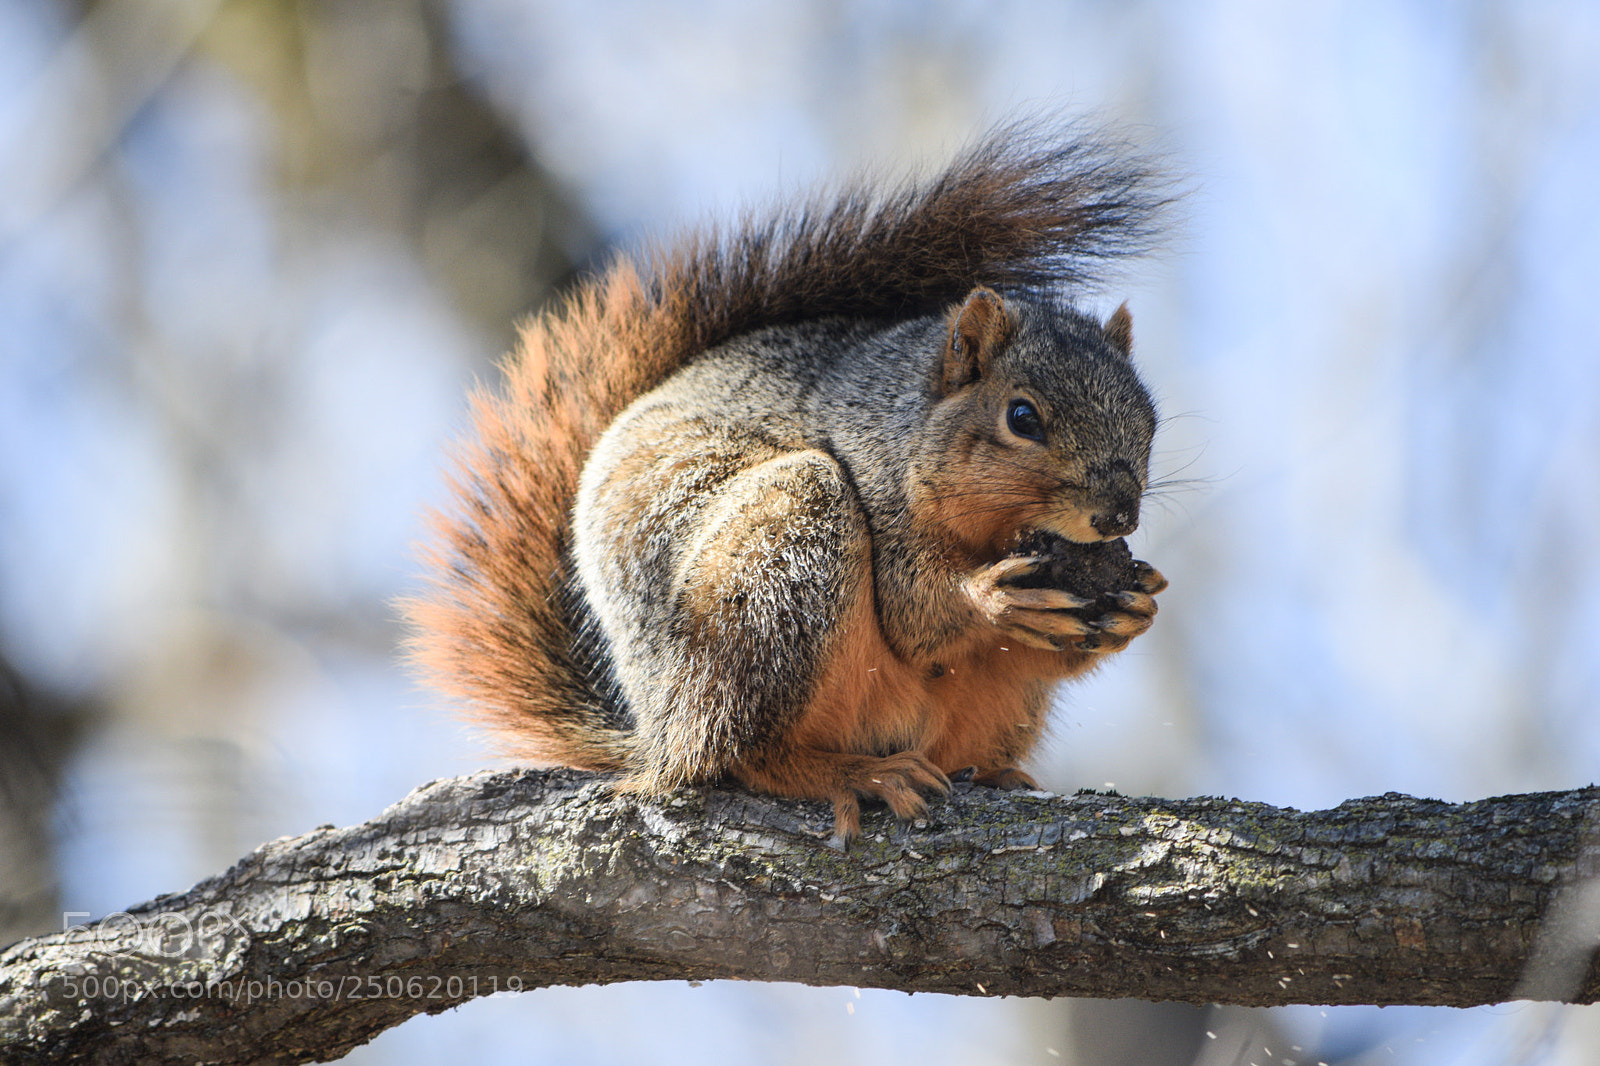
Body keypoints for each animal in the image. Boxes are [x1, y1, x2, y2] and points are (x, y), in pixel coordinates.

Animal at [407, 121, 1173, 841]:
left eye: (1150, 417)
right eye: (1022, 417)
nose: (1118, 516)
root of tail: (654, 732)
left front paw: (1137, 604)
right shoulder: (877, 482)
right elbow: (913, 614)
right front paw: (992, 598)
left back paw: (996, 774)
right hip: (774, 565)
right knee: (736, 753)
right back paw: (854, 774)